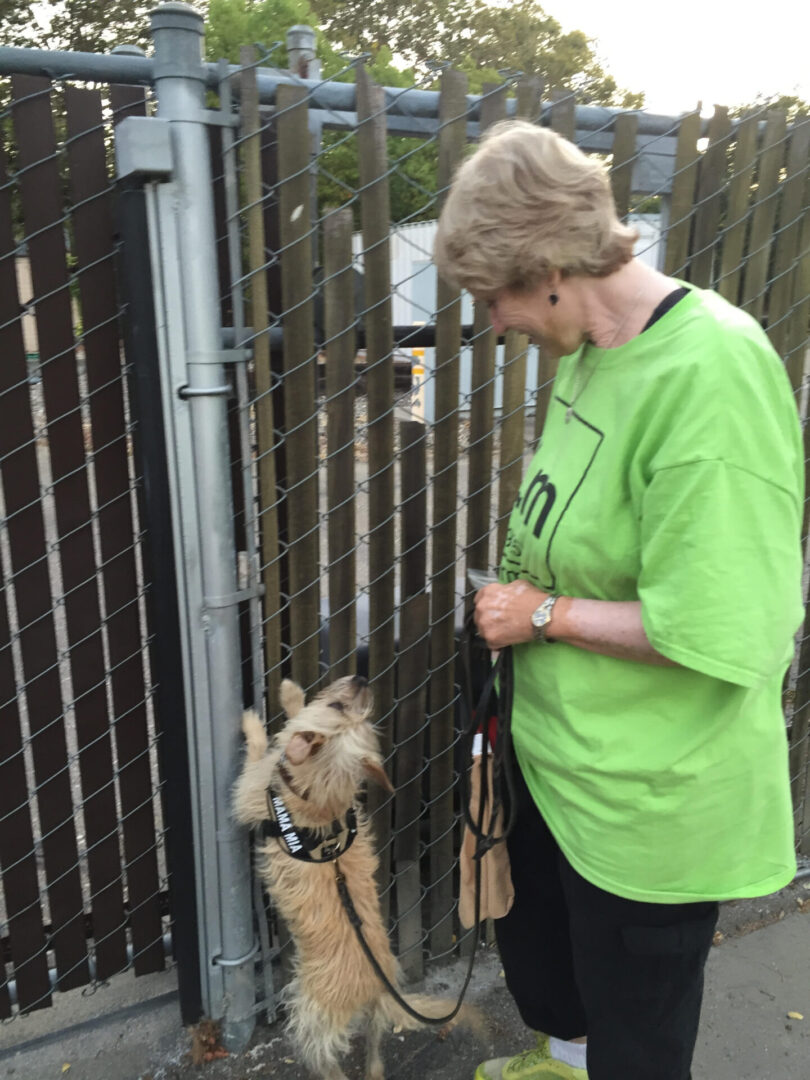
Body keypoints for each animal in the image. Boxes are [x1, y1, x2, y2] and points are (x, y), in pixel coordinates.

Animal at [233, 673, 475, 1080]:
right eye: (343, 709)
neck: (319, 797)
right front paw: (293, 696)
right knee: (375, 1047)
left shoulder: (252, 787)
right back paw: (373, 1067)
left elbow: (263, 748)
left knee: (325, 1059)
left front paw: (261, 716)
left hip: (312, 1017)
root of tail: (370, 990)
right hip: (375, 1016)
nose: (362, 678)